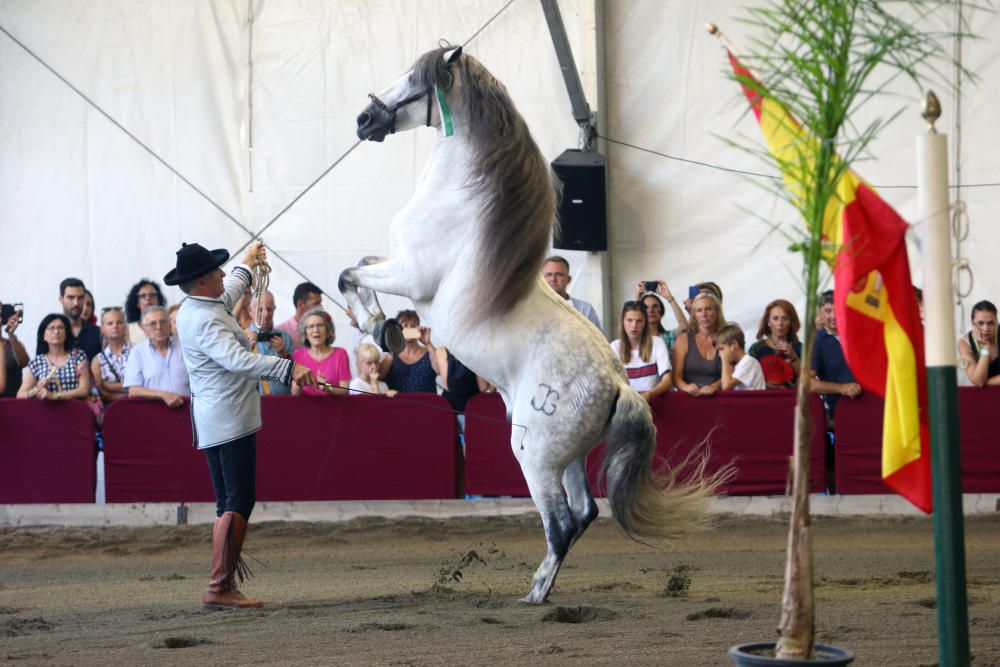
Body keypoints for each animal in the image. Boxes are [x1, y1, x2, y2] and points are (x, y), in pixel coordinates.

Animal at [340, 44, 724, 604]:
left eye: (414, 78)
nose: (364, 119)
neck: (460, 199)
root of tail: (618, 387)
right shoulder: (396, 264)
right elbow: (357, 265)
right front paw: (379, 325)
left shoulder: (411, 275)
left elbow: (349, 274)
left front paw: (377, 325)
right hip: (569, 458)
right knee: (585, 512)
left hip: (535, 456)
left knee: (561, 523)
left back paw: (536, 594)